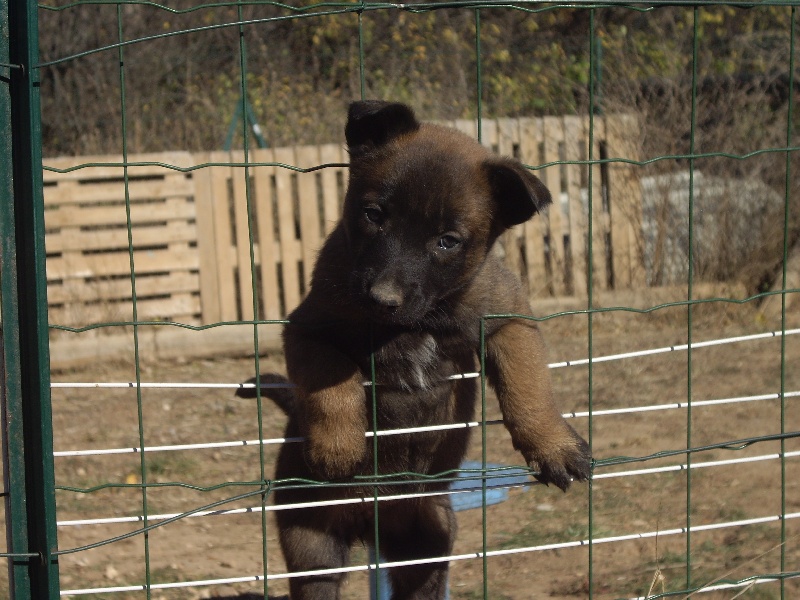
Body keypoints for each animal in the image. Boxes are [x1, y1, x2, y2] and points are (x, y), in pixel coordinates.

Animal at [268, 101, 588, 596]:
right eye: (373, 214)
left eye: (447, 241)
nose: (382, 298)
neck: (415, 323)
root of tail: (372, 524)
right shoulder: (308, 328)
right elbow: (332, 380)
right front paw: (338, 446)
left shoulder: (507, 321)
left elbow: (529, 387)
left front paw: (553, 445)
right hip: (312, 548)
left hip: (430, 539)